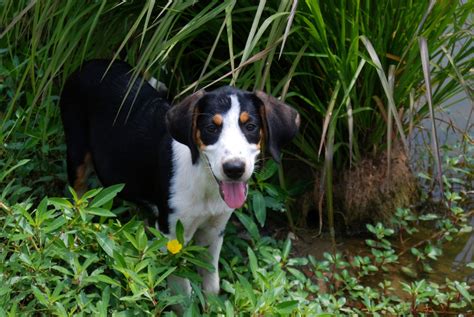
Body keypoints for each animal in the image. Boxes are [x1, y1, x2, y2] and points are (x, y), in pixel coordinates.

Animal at [58, 58, 296, 294]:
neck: (205, 183)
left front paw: (211, 302)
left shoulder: (214, 230)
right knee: (76, 199)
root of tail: (90, 63)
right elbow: (182, 288)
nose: (234, 169)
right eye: (211, 128)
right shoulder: (171, 233)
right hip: (77, 150)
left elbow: (211, 282)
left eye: (251, 126)